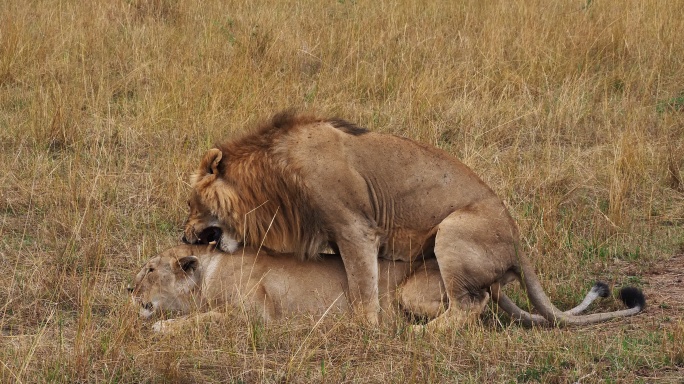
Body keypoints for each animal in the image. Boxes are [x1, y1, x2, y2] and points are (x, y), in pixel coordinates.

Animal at [180, 111, 640, 328]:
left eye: (190, 204)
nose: (184, 238)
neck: (272, 174)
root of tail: (517, 243)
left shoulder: (354, 228)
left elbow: (364, 289)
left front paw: (366, 328)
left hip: (453, 231)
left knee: (467, 309)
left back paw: (418, 332)